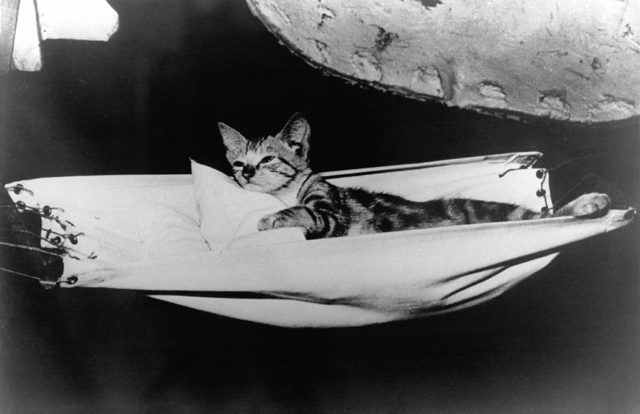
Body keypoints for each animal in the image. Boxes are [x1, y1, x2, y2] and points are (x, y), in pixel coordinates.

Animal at [219, 112, 608, 239]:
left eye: (268, 158)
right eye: (238, 163)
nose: (248, 171)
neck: (284, 191)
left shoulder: (331, 213)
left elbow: (306, 210)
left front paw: (273, 218)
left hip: (474, 207)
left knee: (541, 215)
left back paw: (589, 203)